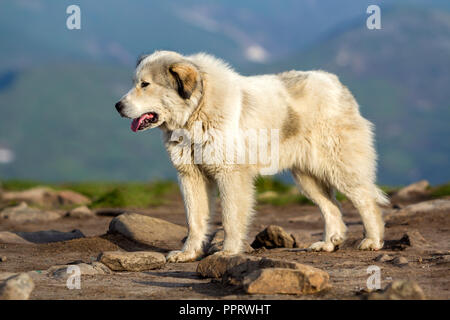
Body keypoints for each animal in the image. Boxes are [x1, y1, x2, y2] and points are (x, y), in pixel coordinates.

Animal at [115, 50, 386, 262]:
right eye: (135, 82)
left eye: (145, 85)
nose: (117, 106)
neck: (197, 110)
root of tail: (336, 83)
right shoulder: (191, 176)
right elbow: (195, 220)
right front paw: (188, 253)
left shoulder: (230, 175)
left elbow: (230, 218)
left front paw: (228, 252)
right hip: (307, 178)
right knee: (332, 207)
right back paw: (329, 243)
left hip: (339, 167)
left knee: (365, 201)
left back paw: (372, 240)